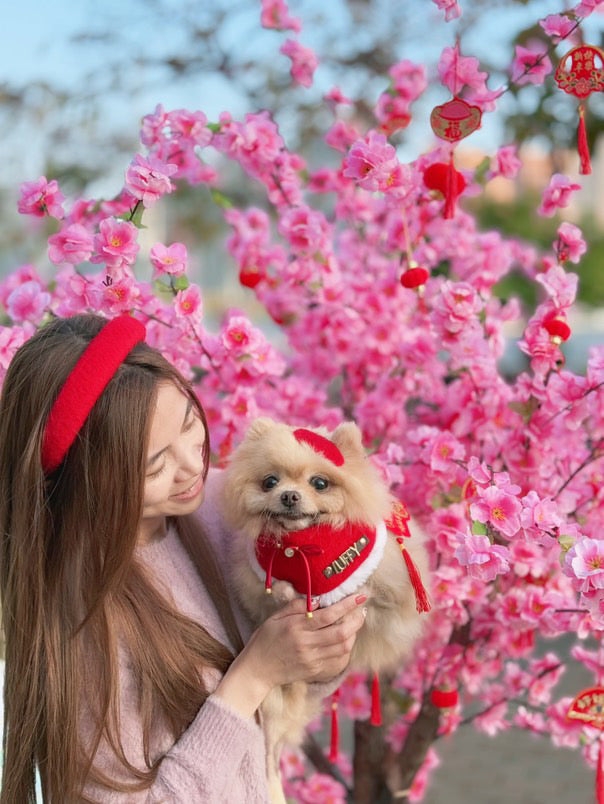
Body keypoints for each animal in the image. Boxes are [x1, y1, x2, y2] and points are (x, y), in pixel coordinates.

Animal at [222, 420, 430, 796]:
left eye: (320, 483)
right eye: (269, 481)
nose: (289, 495)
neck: (304, 544)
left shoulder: (390, 586)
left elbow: (373, 595)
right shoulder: (257, 584)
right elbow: (272, 594)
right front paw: (287, 593)